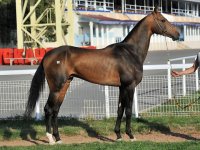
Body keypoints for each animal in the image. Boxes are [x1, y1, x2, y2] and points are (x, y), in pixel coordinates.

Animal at [25, 7, 180, 145]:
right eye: (163, 20)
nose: (178, 34)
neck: (130, 52)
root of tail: (48, 54)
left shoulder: (122, 87)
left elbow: (120, 110)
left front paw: (118, 136)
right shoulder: (129, 86)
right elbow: (129, 111)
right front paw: (131, 136)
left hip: (65, 85)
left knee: (55, 110)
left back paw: (58, 138)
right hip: (56, 88)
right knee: (48, 109)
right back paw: (50, 139)